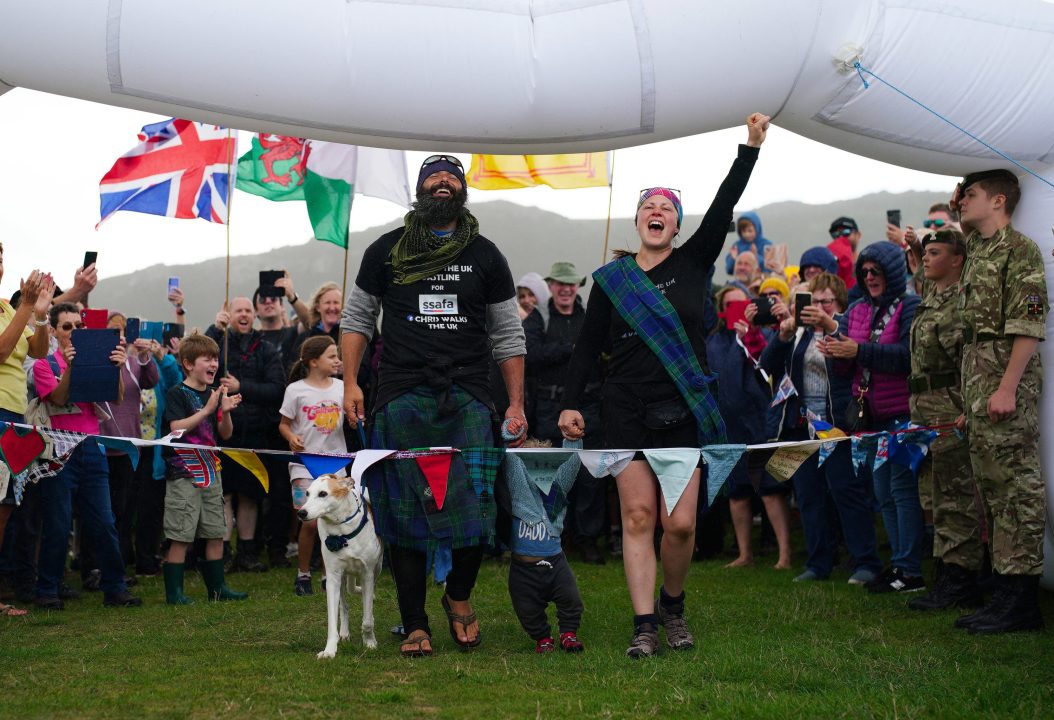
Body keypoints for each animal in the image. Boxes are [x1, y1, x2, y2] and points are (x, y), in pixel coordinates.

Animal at [297, 472, 383, 657]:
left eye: (323, 493)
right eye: (307, 493)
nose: (301, 513)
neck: (342, 531)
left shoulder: (367, 574)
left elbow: (367, 618)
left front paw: (370, 642)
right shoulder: (333, 577)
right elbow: (332, 619)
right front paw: (329, 650)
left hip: (377, 568)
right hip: (342, 578)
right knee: (344, 605)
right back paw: (344, 632)